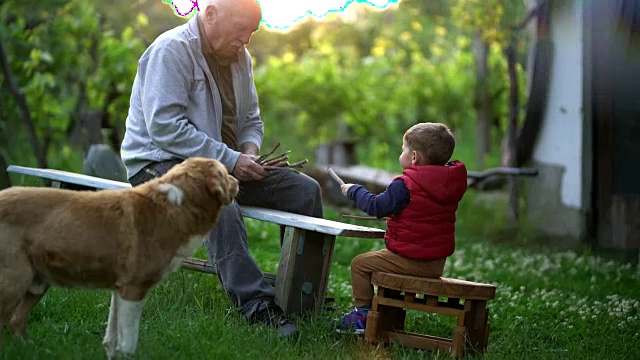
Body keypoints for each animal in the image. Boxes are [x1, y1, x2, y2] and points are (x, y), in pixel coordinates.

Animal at [0, 158, 239, 358]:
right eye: (224, 173)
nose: (237, 181)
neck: (176, 205)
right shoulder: (133, 289)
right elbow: (127, 344)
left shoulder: (119, 290)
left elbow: (112, 341)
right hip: (15, 281)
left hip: (37, 283)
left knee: (15, 321)